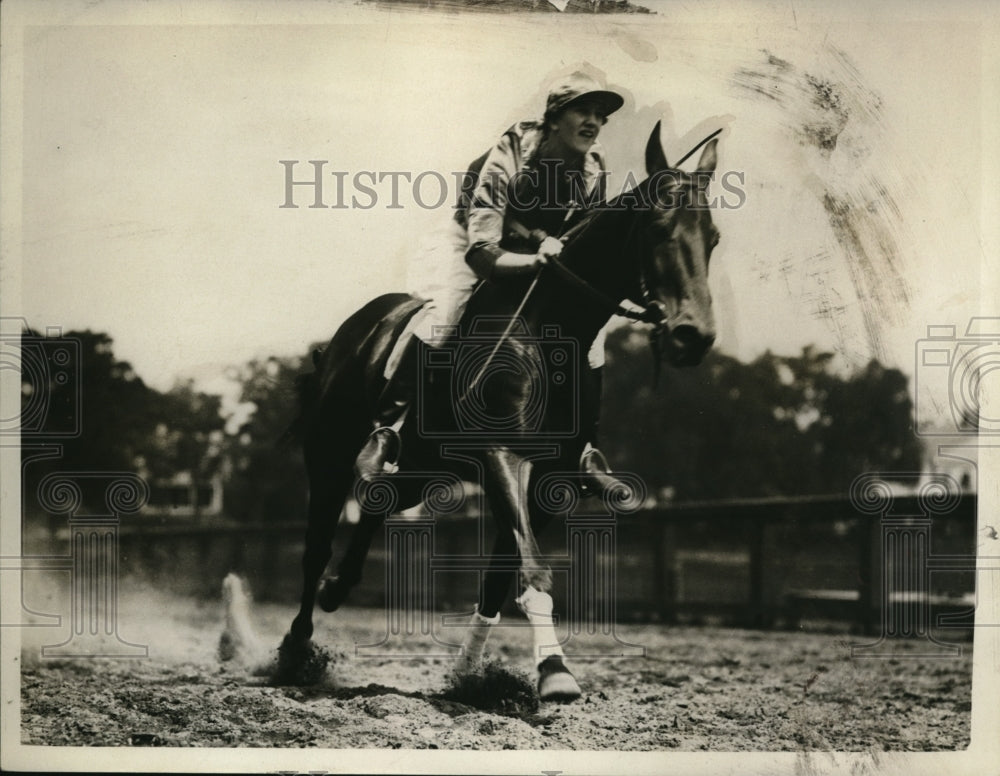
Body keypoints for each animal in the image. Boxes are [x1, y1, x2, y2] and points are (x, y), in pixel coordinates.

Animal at [278, 122, 722, 702]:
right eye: (657, 227)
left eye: (712, 238)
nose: (694, 336)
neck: (552, 329)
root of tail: (348, 334)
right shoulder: (503, 454)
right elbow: (531, 568)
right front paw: (554, 672)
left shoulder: (554, 477)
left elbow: (499, 576)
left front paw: (469, 674)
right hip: (328, 455)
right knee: (314, 550)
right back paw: (296, 649)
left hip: (422, 469)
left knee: (379, 498)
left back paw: (340, 586)